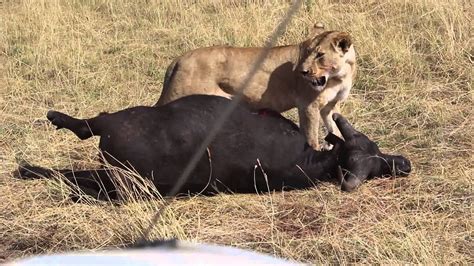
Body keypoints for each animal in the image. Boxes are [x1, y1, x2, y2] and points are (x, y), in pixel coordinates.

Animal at [156, 23, 356, 150]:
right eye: (306, 52)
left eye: (320, 55)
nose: (302, 71)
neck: (339, 76)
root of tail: (179, 59)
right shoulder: (308, 105)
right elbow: (311, 136)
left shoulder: (330, 106)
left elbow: (335, 128)